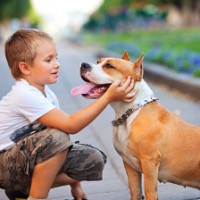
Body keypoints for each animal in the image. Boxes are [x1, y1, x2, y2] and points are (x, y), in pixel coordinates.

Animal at [70, 52, 200, 200]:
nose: (83, 65)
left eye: (109, 66)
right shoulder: (129, 165)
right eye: (98, 61)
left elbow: (150, 192)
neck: (129, 113)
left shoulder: (149, 162)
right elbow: (135, 190)